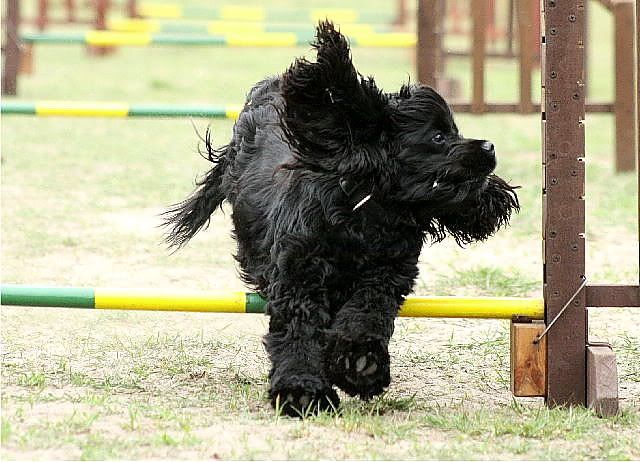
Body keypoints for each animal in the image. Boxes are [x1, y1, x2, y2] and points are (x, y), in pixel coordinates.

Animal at [164, 21, 519, 417]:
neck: (366, 214)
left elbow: (365, 316)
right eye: (439, 136)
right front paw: (302, 390)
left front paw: (359, 364)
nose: (489, 147)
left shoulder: (385, 274)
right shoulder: (299, 275)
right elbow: (298, 329)